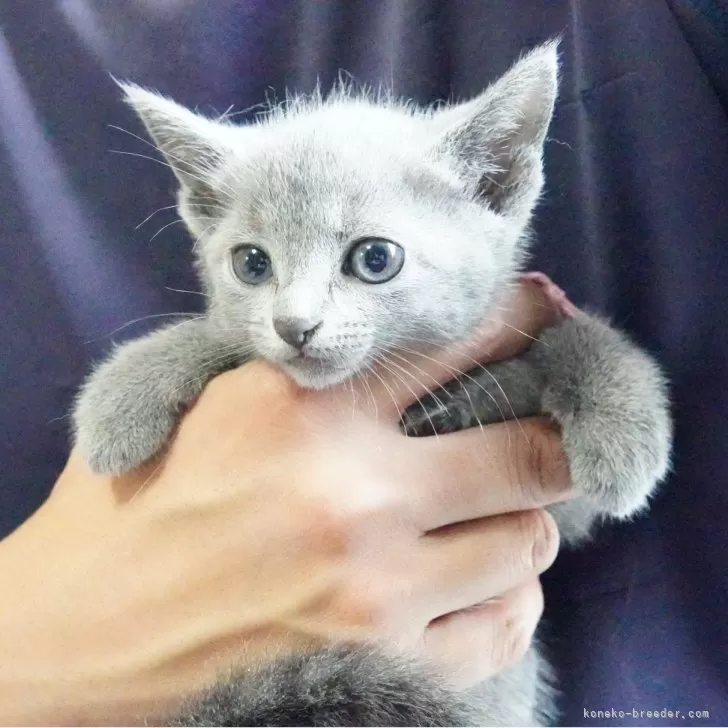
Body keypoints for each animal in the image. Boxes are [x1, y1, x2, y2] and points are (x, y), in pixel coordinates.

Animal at [72, 42, 672, 724]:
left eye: (375, 258)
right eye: (252, 263)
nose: (294, 326)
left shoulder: (558, 513)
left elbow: (576, 339)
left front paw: (622, 431)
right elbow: (221, 337)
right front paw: (120, 398)